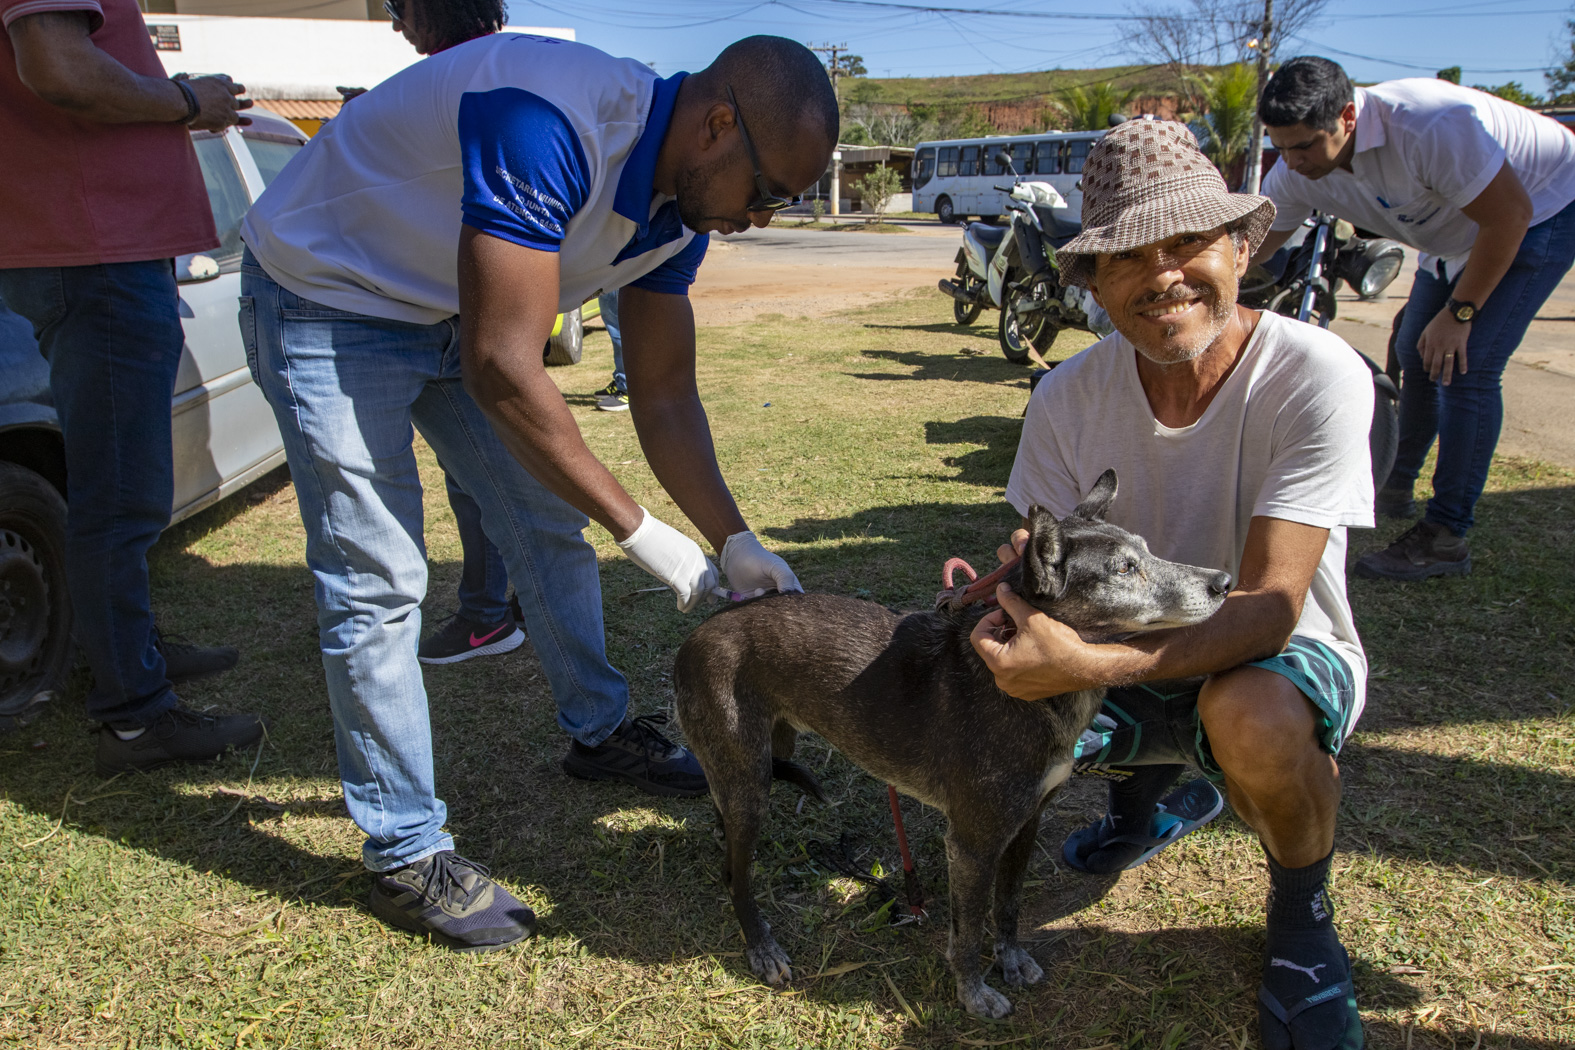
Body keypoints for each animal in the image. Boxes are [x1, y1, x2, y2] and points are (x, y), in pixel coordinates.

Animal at [670, 472, 1234, 1020]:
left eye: (1149, 550)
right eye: (1124, 568)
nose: (1225, 582)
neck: (1030, 692)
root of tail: (695, 636)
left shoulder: (1026, 824)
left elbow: (1008, 907)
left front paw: (1010, 960)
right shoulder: (972, 845)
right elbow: (968, 930)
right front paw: (973, 992)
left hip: (763, 757)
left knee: (728, 831)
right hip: (751, 784)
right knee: (735, 875)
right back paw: (761, 946)